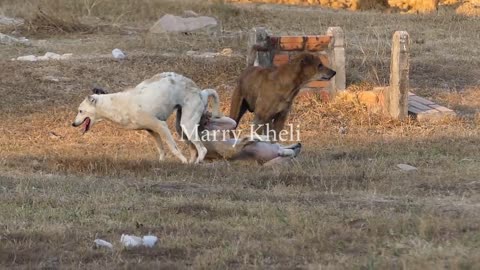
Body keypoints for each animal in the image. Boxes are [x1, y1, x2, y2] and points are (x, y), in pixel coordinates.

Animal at [72, 71, 222, 163]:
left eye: (80, 111)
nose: (73, 124)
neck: (118, 105)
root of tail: (201, 92)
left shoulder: (161, 126)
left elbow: (173, 148)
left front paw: (182, 161)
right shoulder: (152, 131)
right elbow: (161, 149)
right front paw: (161, 162)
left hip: (187, 125)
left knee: (202, 149)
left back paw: (195, 163)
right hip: (181, 128)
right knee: (193, 149)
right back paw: (192, 162)